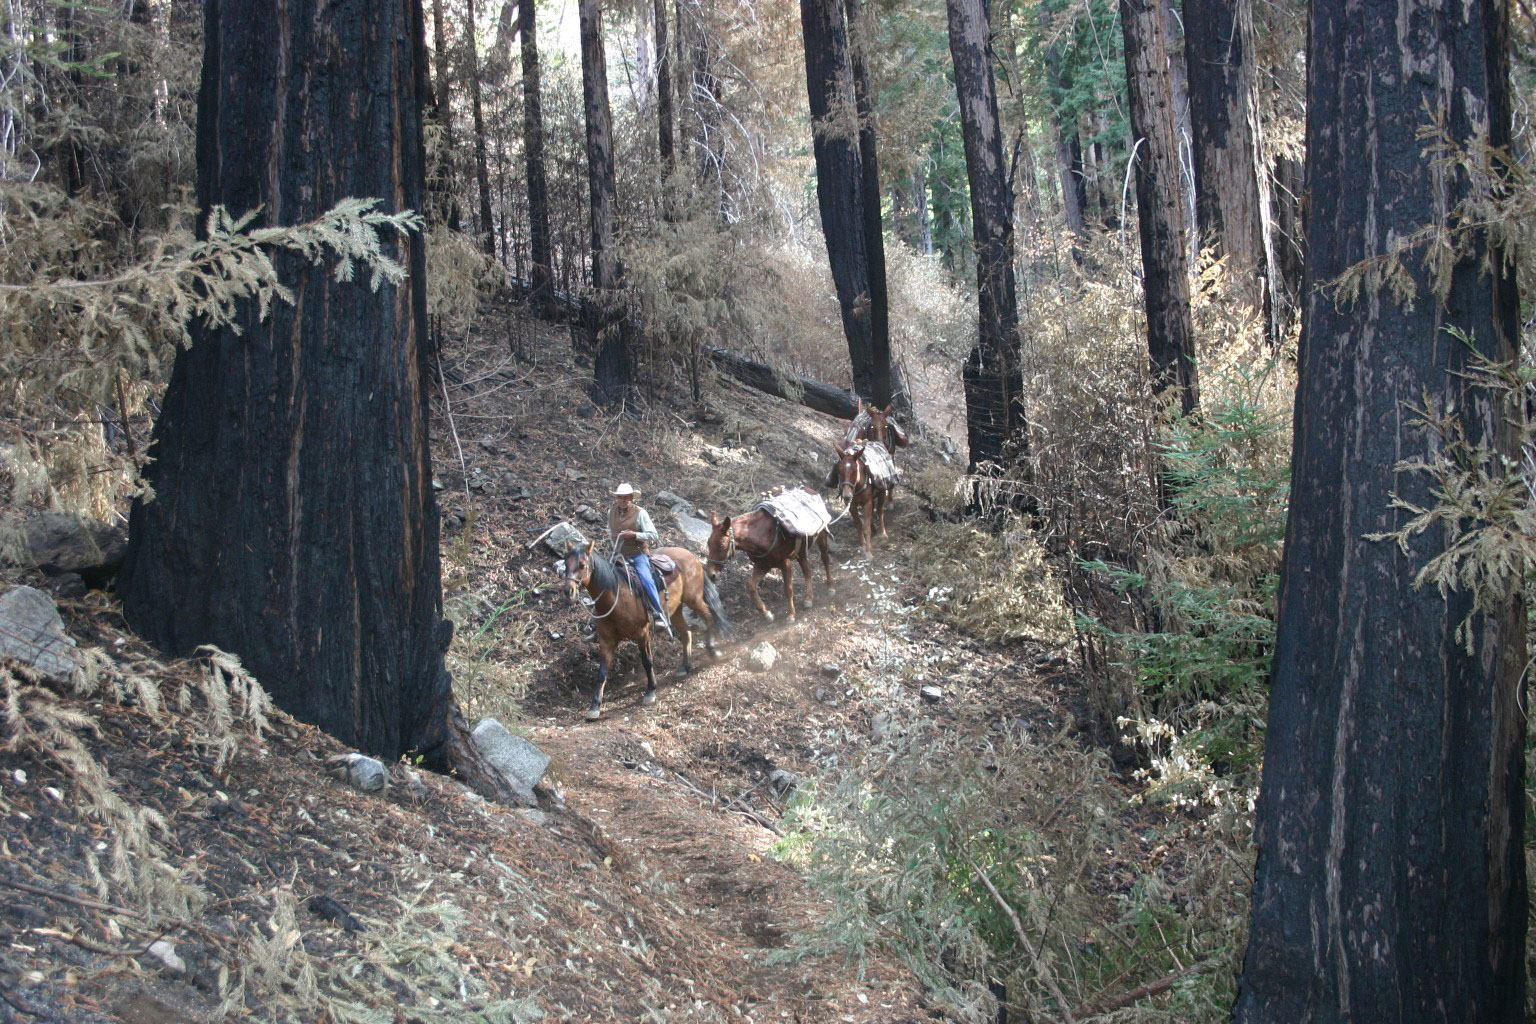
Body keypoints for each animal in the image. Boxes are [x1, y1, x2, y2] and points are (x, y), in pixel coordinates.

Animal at [565, 543, 731, 721]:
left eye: (582, 565)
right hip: (676, 609)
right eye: (565, 563)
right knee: (687, 632)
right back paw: (685, 666)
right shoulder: (607, 641)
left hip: (694, 600)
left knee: (708, 617)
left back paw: (713, 650)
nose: (568, 591)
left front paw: (651, 690)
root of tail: (691, 555)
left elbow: (647, 661)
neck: (616, 596)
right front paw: (595, 706)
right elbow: (602, 673)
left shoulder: (642, 634)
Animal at [709, 488, 841, 626]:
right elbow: (750, 585)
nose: (711, 574)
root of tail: (811, 490)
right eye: (708, 543)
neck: (762, 535)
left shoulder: (785, 563)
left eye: (721, 545)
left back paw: (830, 588)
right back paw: (808, 598)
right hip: (801, 551)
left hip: (821, 537)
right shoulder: (763, 565)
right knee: (807, 570)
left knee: (825, 559)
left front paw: (791, 615)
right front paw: (767, 614)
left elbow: (788, 589)